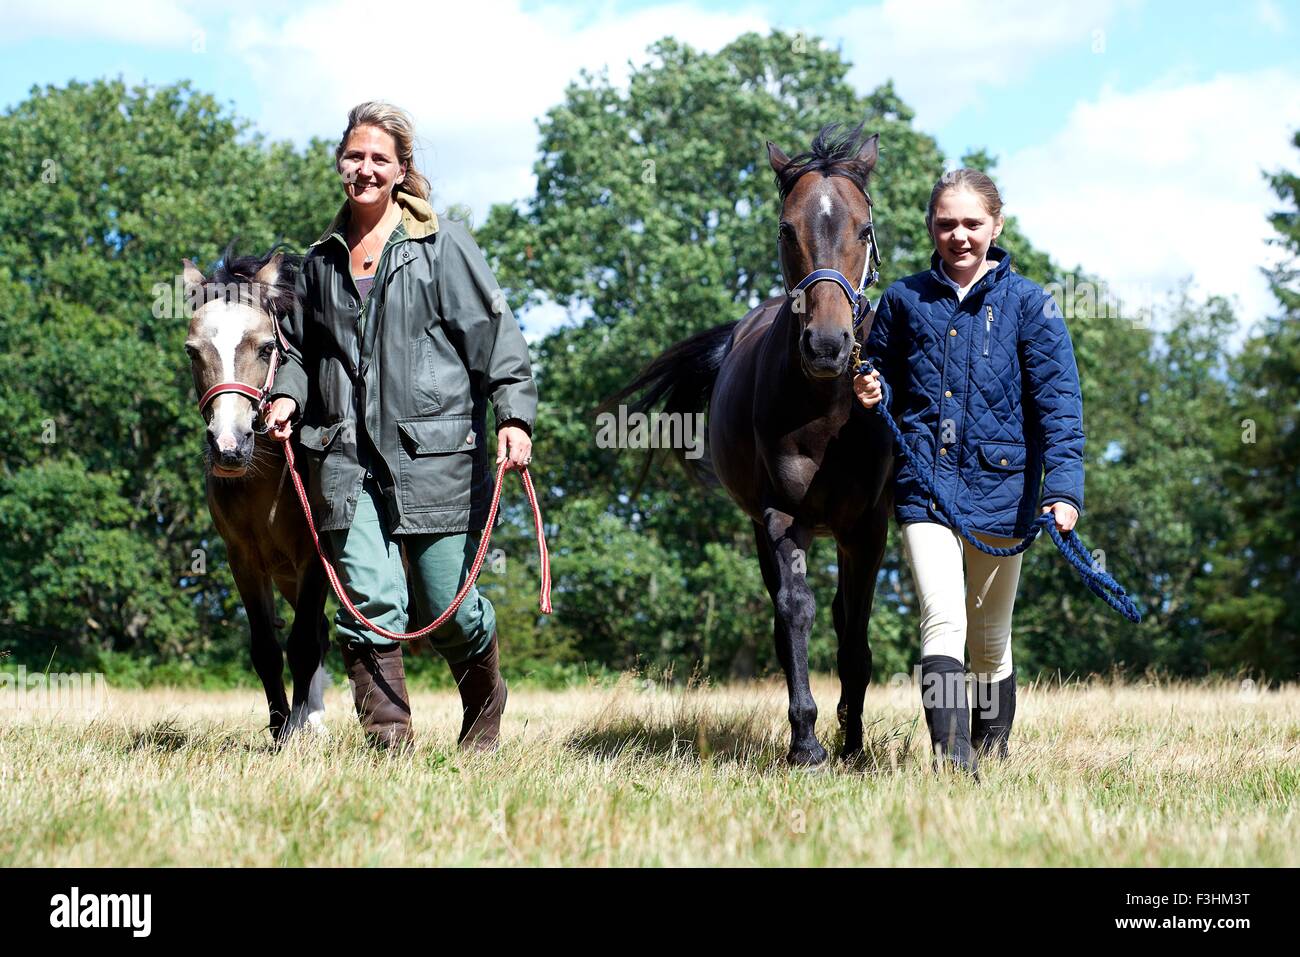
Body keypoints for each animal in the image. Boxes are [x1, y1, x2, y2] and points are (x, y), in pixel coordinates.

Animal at [185, 247, 332, 738]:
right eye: (193, 352)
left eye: (267, 347)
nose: (229, 446)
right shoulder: (245, 560)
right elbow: (267, 648)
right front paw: (282, 728)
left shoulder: (316, 558)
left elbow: (302, 643)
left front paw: (296, 732)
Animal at [608, 125, 894, 769]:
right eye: (787, 229)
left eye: (864, 229)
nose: (827, 345)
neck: (827, 409)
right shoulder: (780, 516)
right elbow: (796, 612)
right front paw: (807, 740)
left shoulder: (866, 527)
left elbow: (855, 633)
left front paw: (853, 745)